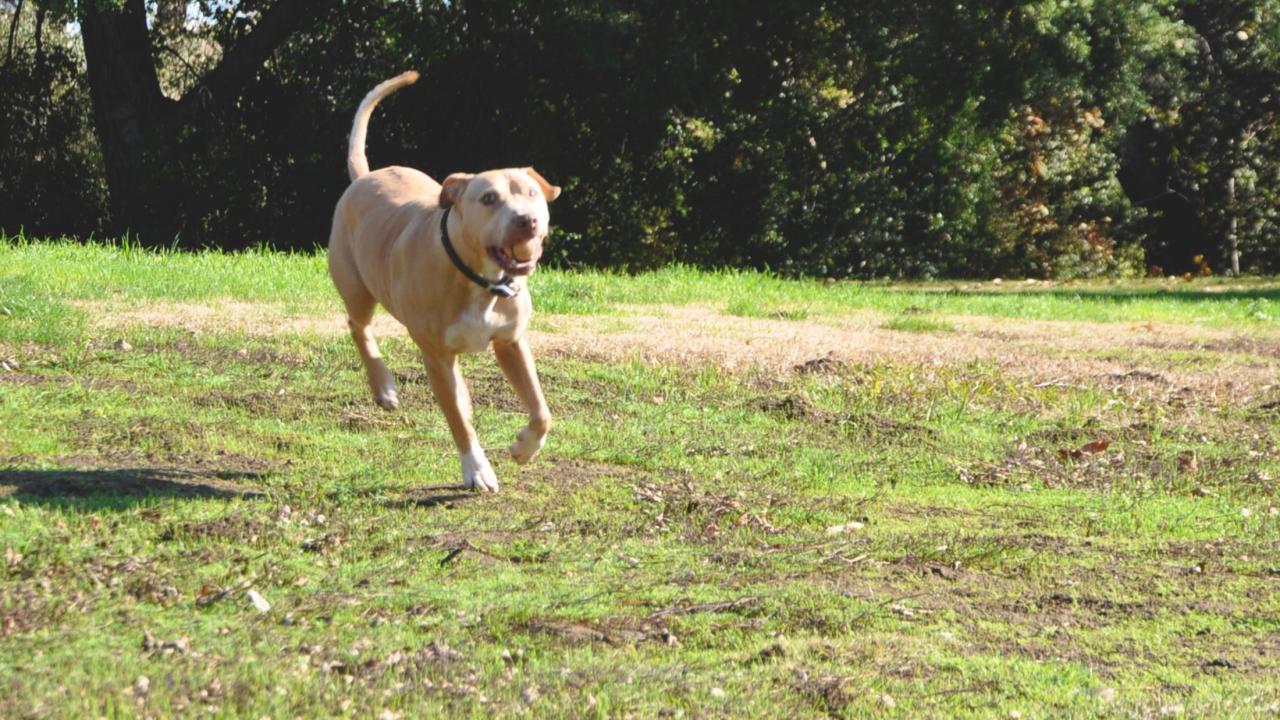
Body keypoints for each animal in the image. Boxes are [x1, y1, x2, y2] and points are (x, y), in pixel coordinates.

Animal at [327, 70, 558, 489]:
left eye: (532, 192)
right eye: (488, 199)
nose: (527, 220)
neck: (479, 280)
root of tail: (365, 177)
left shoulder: (511, 342)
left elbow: (540, 409)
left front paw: (524, 448)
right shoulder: (435, 355)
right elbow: (459, 423)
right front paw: (477, 469)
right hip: (356, 284)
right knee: (358, 324)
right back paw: (383, 385)